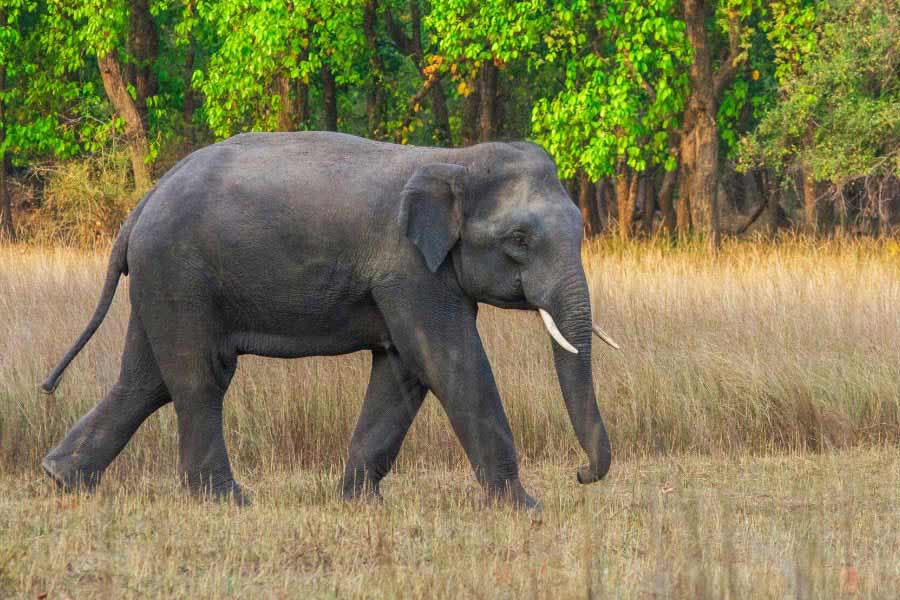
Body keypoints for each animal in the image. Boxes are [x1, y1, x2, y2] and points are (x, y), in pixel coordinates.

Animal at [40, 131, 620, 506]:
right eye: (519, 240)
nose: (580, 474)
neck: (452, 160)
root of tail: (142, 204)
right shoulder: (408, 267)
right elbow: (450, 363)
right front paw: (524, 506)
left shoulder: (408, 277)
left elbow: (402, 369)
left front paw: (360, 503)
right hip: (181, 275)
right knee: (199, 377)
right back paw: (227, 501)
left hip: (162, 280)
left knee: (145, 381)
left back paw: (63, 480)